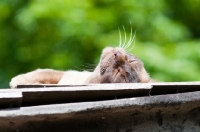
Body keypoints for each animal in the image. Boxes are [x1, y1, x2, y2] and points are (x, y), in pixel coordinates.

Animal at [9, 27, 155, 88]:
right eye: (131, 60)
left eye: (118, 72)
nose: (117, 55)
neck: (85, 78)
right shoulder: (66, 74)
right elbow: (45, 73)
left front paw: (17, 82)